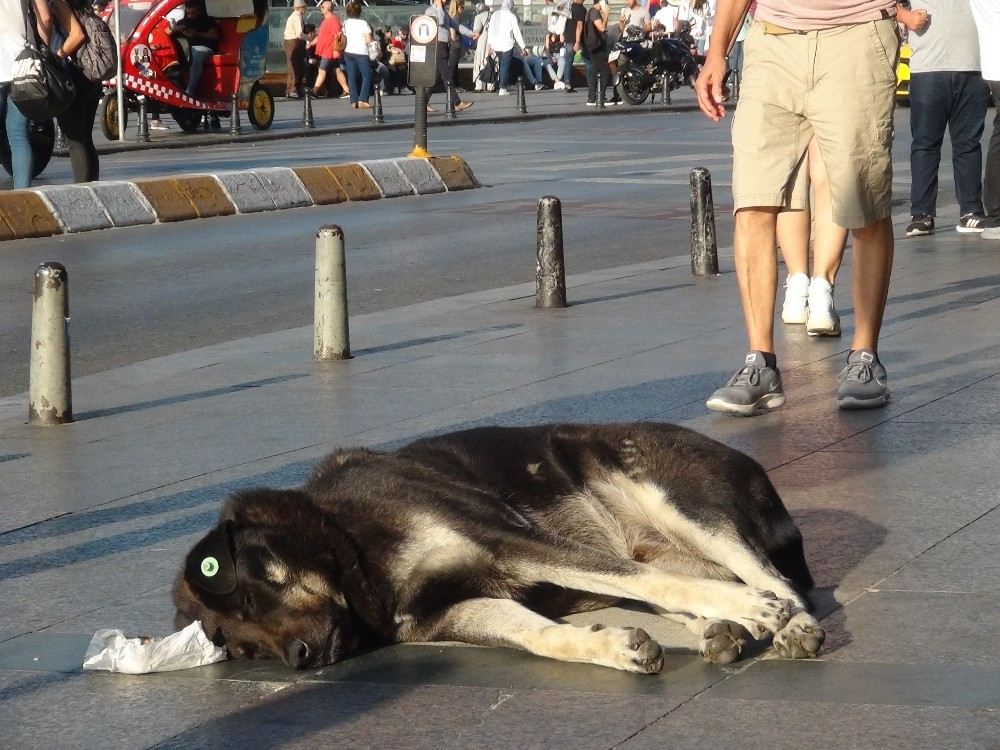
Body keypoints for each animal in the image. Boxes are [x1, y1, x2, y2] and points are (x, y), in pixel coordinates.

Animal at [176, 424, 824, 676]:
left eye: (253, 595)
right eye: (242, 648)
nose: (300, 659)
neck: (350, 541)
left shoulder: (505, 538)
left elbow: (636, 581)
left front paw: (760, 613)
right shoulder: (457, 610)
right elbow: (540, 636)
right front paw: (611, 646)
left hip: (680, 503)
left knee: (773, 579)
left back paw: (783, 621)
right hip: (658, 543)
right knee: (704, 583)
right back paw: (723, 628)